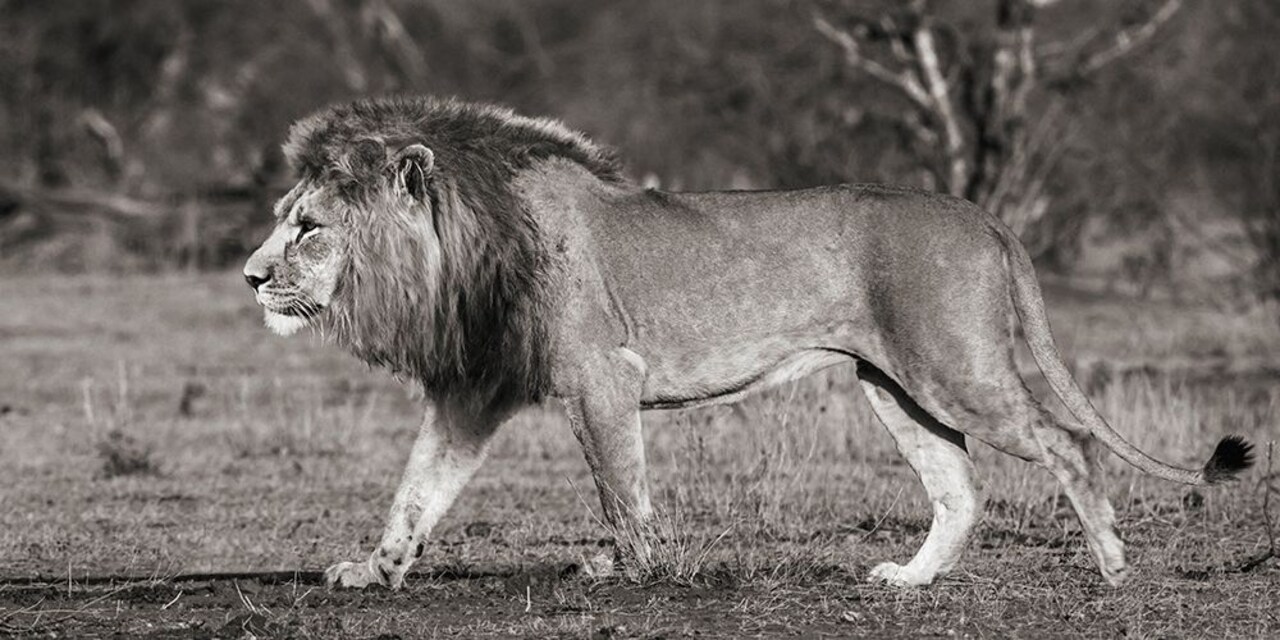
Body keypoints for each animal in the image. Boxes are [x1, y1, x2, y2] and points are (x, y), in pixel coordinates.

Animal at [243, 96, 1253, 590]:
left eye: (309, 228)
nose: (251, 277)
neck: (464, 251)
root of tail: (982, 214)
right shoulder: (475, 389)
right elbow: (415, 493)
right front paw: (372, 571)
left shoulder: (601, 378)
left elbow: (622, 492)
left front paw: (629, 570)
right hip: (896, 385)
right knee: (960, 488)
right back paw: (911, 582)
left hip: (955, 367)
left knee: (1069, 441)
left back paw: (1113, 566)